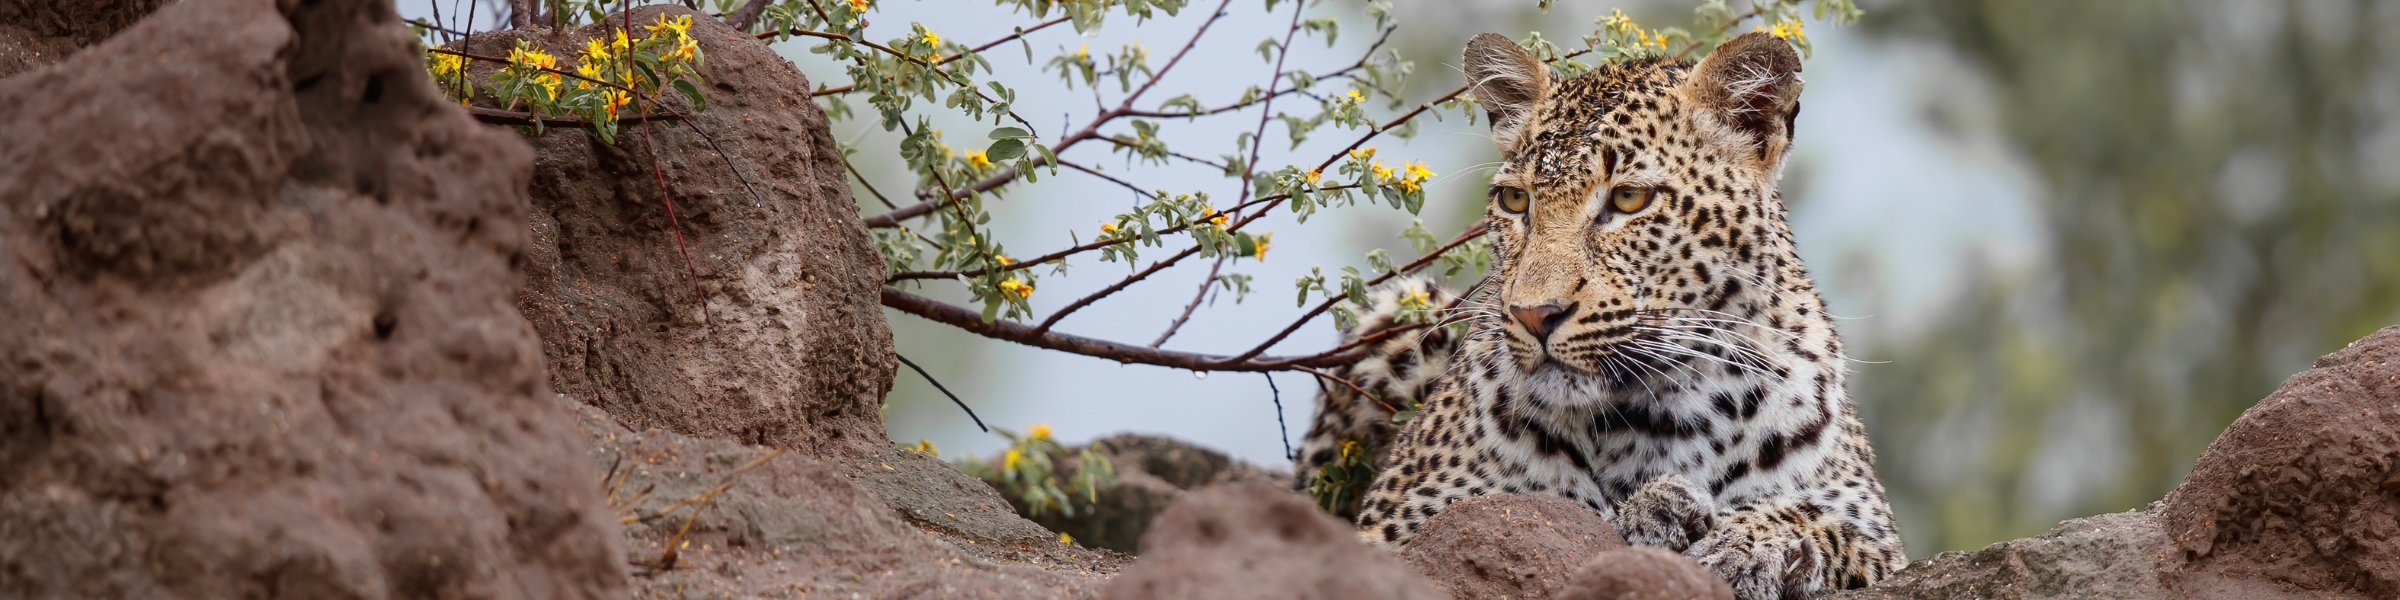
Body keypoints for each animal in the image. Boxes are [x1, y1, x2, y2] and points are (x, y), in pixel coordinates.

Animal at [1305, 34, 1900, 600]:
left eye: (1630, 198)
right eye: (1516, 201)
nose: (1533, 314)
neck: (1662, 414)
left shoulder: (1877, 532)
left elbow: (1820, 523)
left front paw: (1751, 543)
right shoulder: (1400, 517)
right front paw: (1657, 510)